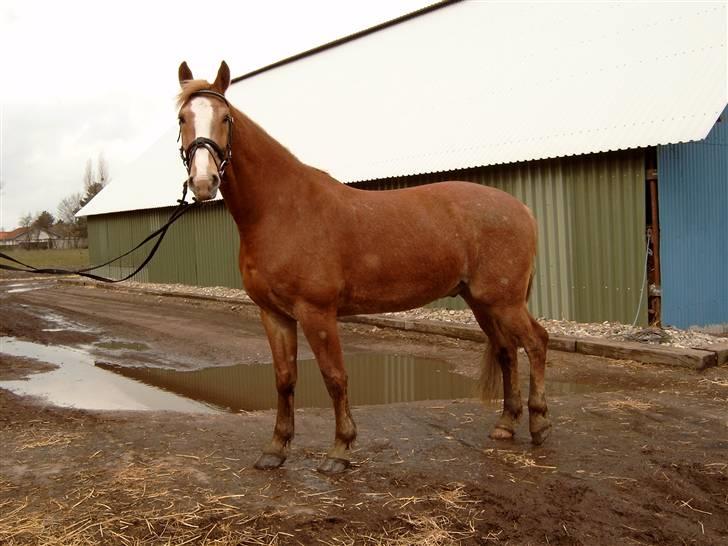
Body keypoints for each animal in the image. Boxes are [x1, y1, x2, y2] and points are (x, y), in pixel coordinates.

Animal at [178, 60, 552, 472]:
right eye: (182, 118)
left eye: (225, 117)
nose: (203, 182)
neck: (282, 209)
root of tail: (521, 209)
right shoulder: (274, 315)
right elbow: (285, 379)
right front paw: (275, 448)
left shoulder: (317, 312)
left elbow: (335, 377)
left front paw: (340, 449)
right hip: (482, 302)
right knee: (506, 350)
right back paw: (505, 424)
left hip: (504, 301)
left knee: (536, 342)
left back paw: (538, 423)